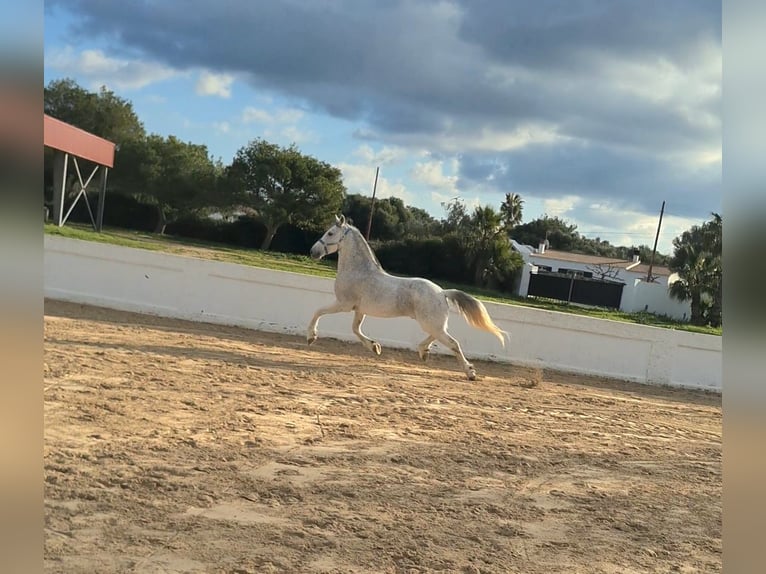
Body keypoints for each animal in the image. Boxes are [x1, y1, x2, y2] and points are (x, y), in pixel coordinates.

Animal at [306, 214, 510, 380]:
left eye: (330, 233)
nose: (313, 252)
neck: (358, 271)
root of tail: (442, 292)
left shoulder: (343, 304)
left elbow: (318, 312)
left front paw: (311, 337)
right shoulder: (359, 310)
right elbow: (355, 329)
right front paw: (375, 347)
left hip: (430, 323)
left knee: (453, 343)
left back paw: (470, 372)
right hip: (432, 323)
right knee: (438, 336)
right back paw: (423, 352)